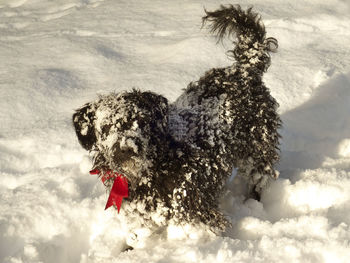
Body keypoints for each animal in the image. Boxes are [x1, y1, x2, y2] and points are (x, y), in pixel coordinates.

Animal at [72, 4, 282, 233]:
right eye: (106, 127)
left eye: (141, 121)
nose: (127, 148)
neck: (154, 166)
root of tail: (244, 68)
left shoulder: (198, 209)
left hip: (258, 148)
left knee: (259, 177)